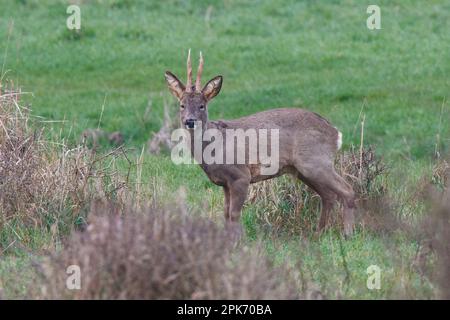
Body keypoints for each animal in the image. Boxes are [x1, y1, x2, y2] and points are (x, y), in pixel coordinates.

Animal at [163, 50, 356, 235]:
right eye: (182, 105)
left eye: (202, 105)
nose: (190, 121)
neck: (215, 146)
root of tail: (335, 133)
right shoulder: (225, 183)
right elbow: (225, 213)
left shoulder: (241, 175)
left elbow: (234, 214)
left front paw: (238, 240)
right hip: (304, 169)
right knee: (328, 195)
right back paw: (319, 233)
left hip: (315, 161)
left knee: (347, 189)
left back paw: (347, 233)